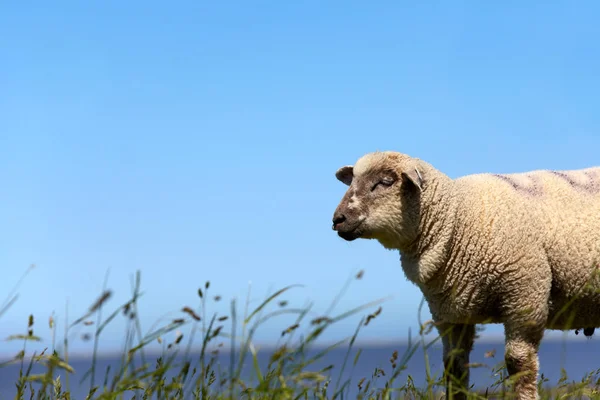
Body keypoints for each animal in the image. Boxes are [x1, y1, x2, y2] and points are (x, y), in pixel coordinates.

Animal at [330, 151, 600, 400]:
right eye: (352, 181)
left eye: (385, 182)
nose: (337, 219)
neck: (457, 218)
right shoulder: (450, 314)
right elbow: (454, 368)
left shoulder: (525, 297)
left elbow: (518, 364)